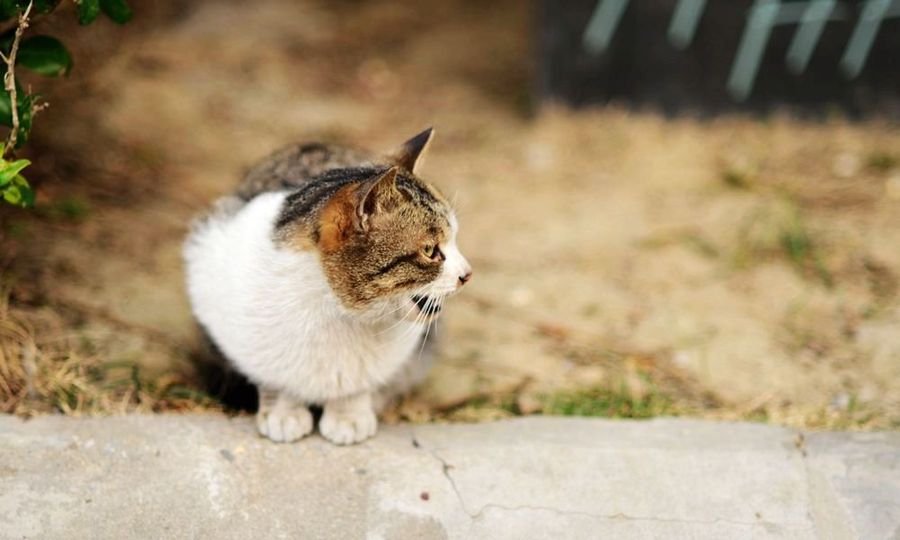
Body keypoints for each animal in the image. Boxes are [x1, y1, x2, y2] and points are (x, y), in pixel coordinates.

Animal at [183, 129, 472, 446]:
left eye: (454, 240)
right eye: (431, 251)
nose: (467, 273)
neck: (337, 313)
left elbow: (357, 387)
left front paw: (349, 415)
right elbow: (275, 378)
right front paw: (283, 412)